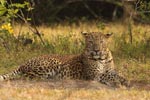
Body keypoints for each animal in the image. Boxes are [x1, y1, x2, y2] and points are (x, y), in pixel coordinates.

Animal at [0, 32, 129, 87]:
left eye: (101, 42)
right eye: (91, 42)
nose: (97, 50)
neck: (102, 58)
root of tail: (23, 63)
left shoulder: (110, 70)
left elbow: (117, 74)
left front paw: (124, 80)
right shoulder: (93, 74)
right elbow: (107, 76)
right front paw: (116, 82)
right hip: (51, 63)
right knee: (26, 76)